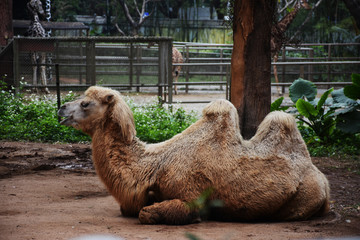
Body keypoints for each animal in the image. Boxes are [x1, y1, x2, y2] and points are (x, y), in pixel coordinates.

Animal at [57, 86, 330, 225]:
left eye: (85, 103)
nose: (60, 109)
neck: (153, 165)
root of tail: (324, 181)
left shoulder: (191, 195)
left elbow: (148, 213)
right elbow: (130, 208)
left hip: (307, 197)